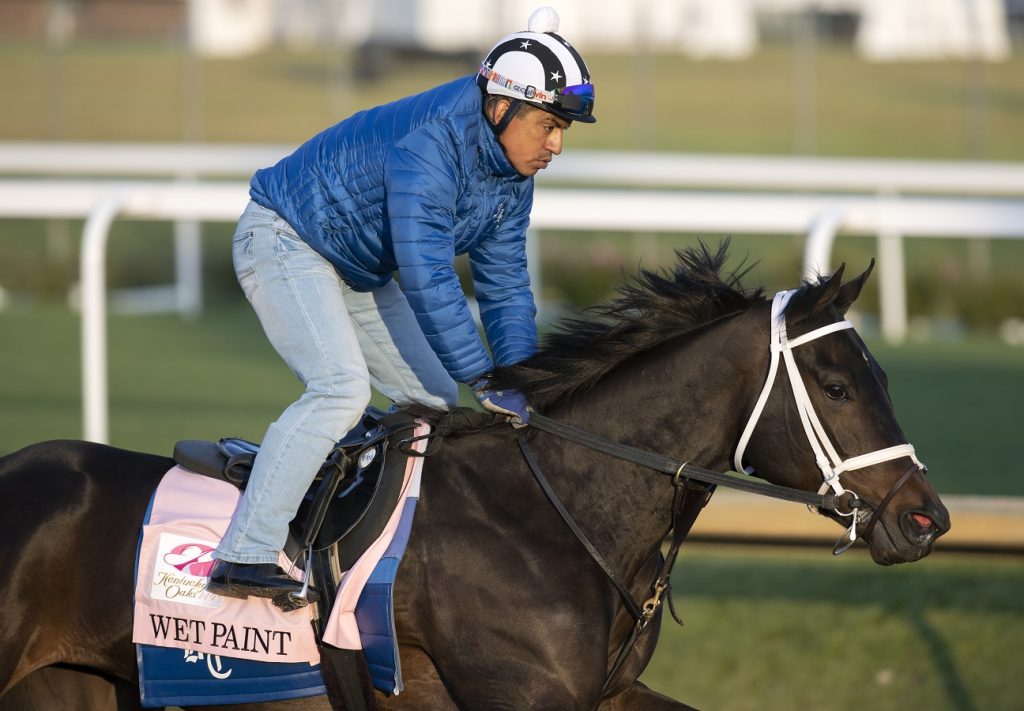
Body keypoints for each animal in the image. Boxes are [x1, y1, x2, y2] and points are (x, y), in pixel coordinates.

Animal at [0, 246, 946, 711]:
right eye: (837, 385)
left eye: (884, 375)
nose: (926, 517)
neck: (553, 513)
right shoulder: (518, 695)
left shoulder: (606, 695)